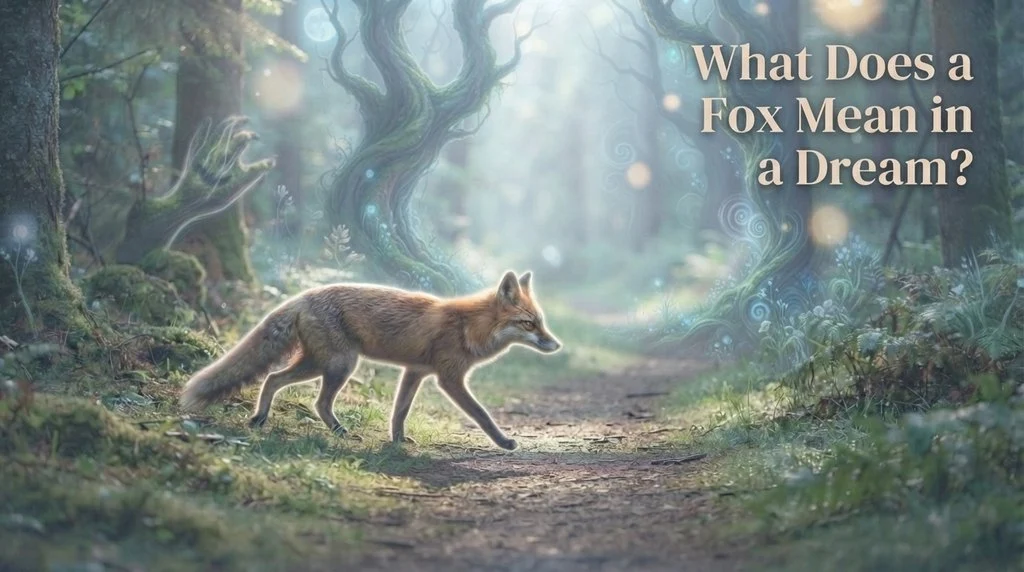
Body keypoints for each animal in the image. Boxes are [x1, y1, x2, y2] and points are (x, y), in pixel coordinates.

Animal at [179, 271, 561, 450]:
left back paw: (260, 419)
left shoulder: (415, 372)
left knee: (272, 379)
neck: (470, 326)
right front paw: (504, 442)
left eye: (541, 321)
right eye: (529, 324)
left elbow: (399, 412)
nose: (556, 344)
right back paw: (338, 431)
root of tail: (303, 296)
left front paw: (397, 441)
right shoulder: (449, 378)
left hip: (320, 363)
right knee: (316, 400)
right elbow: (482, 415)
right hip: (340, 364)